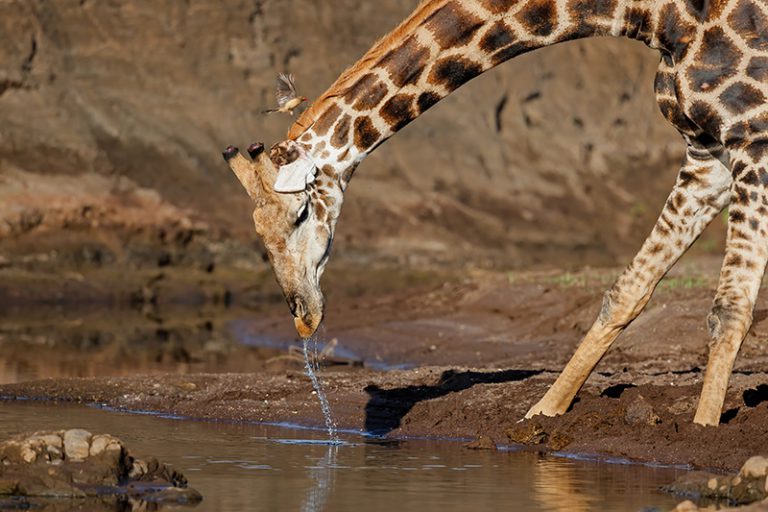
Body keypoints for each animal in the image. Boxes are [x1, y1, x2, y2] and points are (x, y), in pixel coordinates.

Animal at [223, 0, 768, 426]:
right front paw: (541, 416)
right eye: (258, 234)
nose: (304, 319)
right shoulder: (707, 152)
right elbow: (626, 291)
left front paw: (702, 433)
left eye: (299, 214)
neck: (658, 15)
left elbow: (729, 309)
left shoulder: (752, 138)